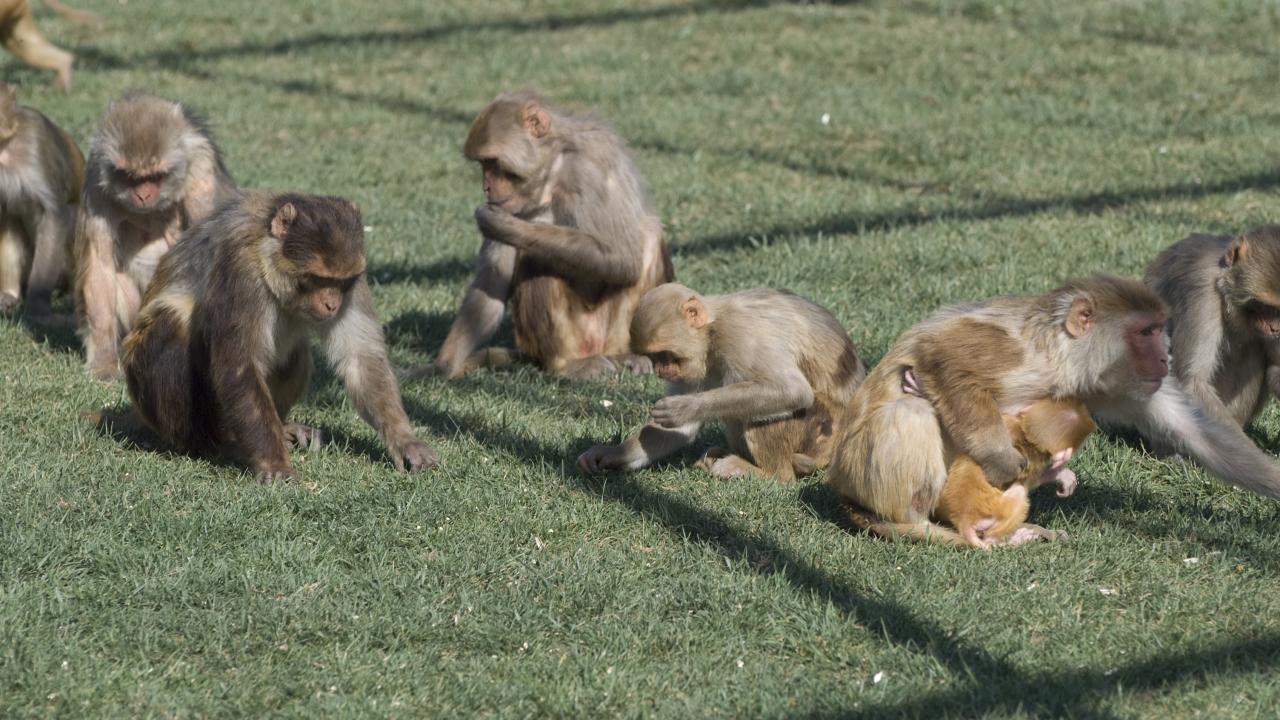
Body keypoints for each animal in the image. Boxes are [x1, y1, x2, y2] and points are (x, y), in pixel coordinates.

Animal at [74, 92, 236, 381]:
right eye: (129, 176)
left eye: (156, 176)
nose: (143, 195)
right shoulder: (96, 182)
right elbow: (100, 266)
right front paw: (104, 359)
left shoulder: (201, 173)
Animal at [122, 191, 439, 482]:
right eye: (318, 279)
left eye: (339, 282)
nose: (332, 304)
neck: (267, 257)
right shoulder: (241, 271)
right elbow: (240, 368)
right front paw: (273, 462)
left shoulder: (356, 277)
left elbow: (360, 358)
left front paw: (405, 442)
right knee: (171, 323)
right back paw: (218, 444)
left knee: (295, 354)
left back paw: (283, 428)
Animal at [428, 90, 673, 380]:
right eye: (482, 164)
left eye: (492, 162)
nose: (486, 187)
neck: (553, 171)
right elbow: (491, 285)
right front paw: (442, 366)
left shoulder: (592, 167)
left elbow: (623, 259)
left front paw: (510, 228)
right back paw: (564, 363)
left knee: (645, 239)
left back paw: (620, 356)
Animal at [577, 283, 865, 481]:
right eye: (654, 358)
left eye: (665, 355)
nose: (660, 370)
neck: (712, 333)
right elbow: (679, 430)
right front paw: (611, 454)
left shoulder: (741, 334)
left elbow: (792, 391)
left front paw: (687, 407)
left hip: (822, 430)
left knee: (764, 411)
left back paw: (769, 473)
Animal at [1144, 226, 1280, 433]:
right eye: (1261, 305)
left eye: (1279, 310)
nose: (1274, 328)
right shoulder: (1204, 292)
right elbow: (1193, 382)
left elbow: (1276, 369)